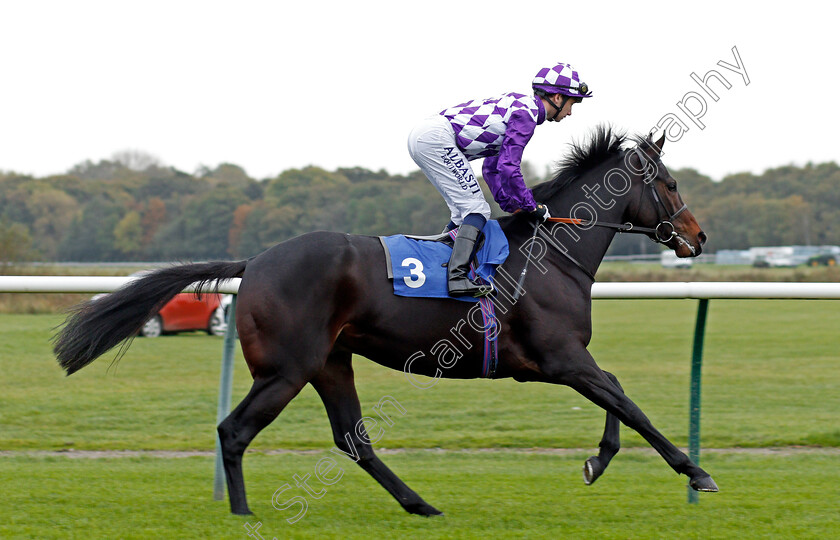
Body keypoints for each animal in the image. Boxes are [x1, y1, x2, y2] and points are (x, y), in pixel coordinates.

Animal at [55, 125, 720, 516]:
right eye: (669, 183)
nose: (699, 237)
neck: (549, 254)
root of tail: (257, 260)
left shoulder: (554, 363)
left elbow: (620, 397)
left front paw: (596, 463)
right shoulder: (559, 359)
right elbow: (630, 405)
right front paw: (696, 472)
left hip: (330, 361)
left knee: (353, 439)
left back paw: (420, 504)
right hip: (286, 369)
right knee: (234, 431)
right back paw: (242, 514)